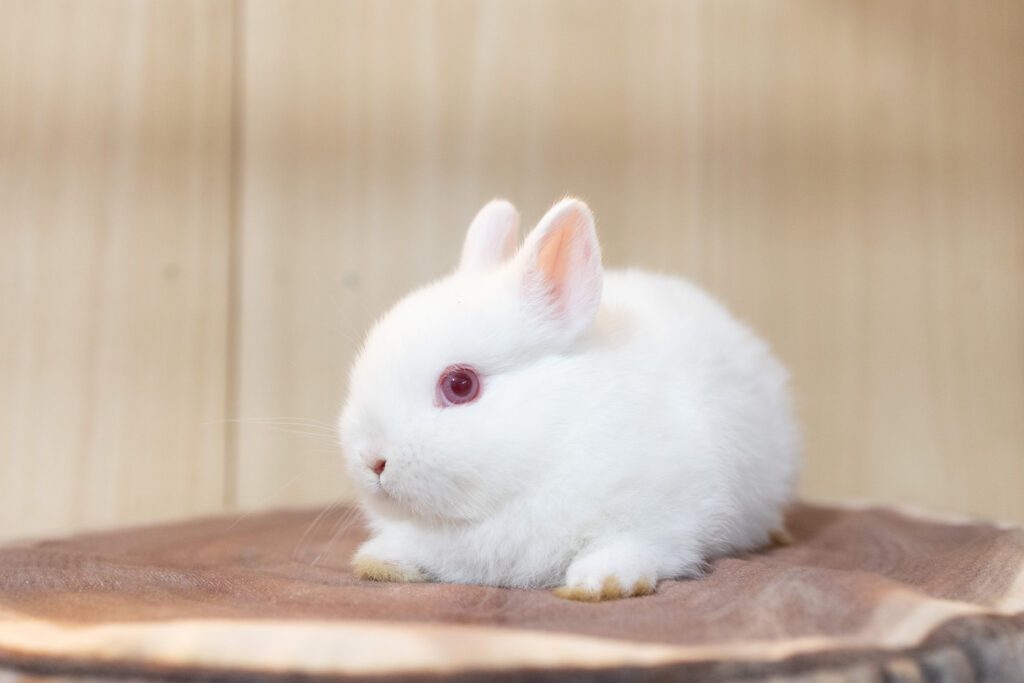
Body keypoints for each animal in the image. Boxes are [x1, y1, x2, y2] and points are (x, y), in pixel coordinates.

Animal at [339, 198, 800, 601]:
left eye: (460, 385)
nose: (373, 461)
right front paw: (381, 561)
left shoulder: (664, 518)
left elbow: (633, 545)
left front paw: (602, 582)